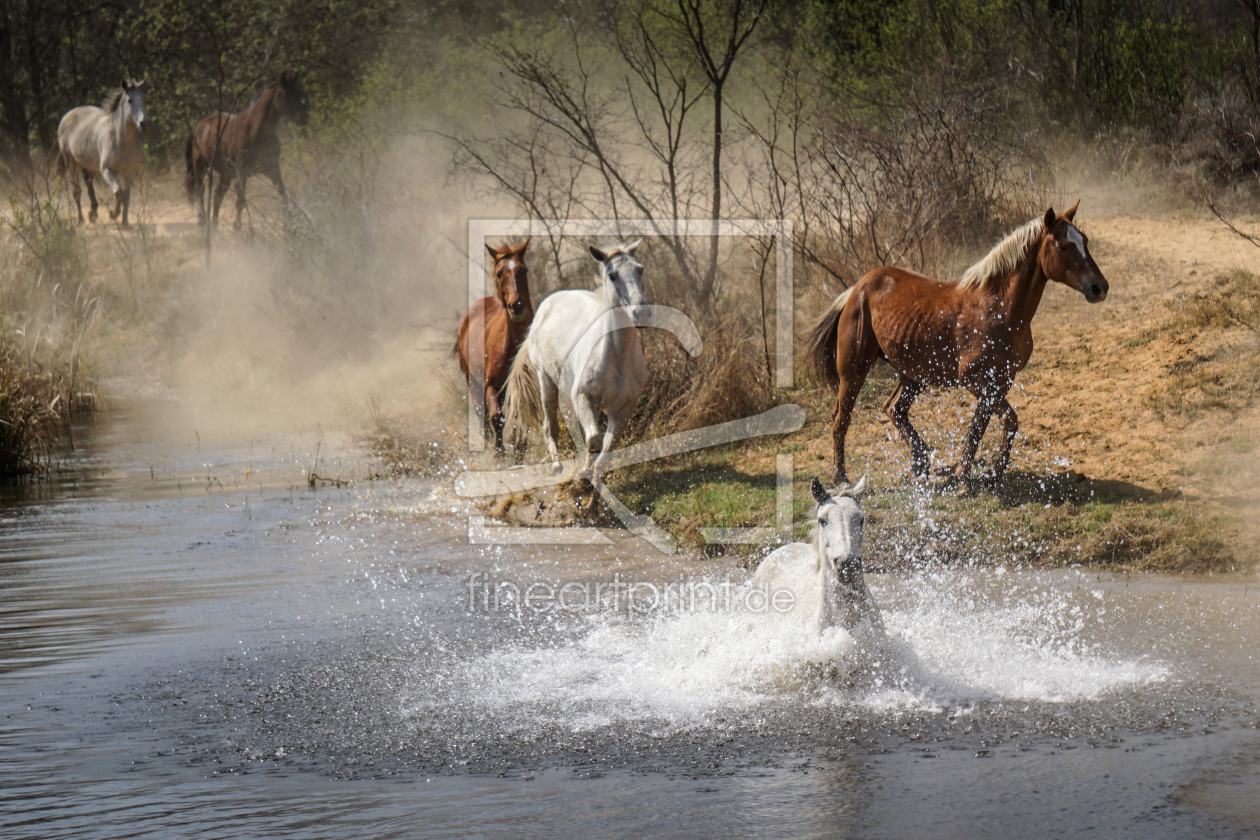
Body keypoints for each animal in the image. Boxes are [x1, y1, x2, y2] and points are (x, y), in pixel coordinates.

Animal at [56, 79, 148, 230]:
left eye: (144, 99)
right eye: (130, 100)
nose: (144, 124)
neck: (121, 140)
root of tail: (67, 115)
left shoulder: (129, 173)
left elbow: (126, 197)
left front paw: (125, 223)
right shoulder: (106, 170)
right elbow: (118, 193)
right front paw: (113, 214)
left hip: (92, 166)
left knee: (88, 183)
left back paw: (92, 213)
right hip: (71, 162)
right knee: (77, 191)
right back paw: (81, 220)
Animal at [183, 71, 308, 230]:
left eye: (299, 91)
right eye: (284, 92)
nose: (304, 117)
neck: (254, 130)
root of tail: (199, 127)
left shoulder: (272, 168)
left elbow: (284, 194)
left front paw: (290, 227)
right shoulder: (241, 171)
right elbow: (241, 200)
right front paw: (237, 227)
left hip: (225, 174)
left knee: (217, 196)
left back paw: (215, 225)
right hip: (200, 166)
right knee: (201, 190)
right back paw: (202, 220)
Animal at [453, 239, 531, 450]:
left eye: (523, 270)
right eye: (499, 273)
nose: (517, 306)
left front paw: (518, 448)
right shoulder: (491, 386)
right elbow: (496, 417)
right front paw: (499, 452)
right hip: (474, 383)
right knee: (483, 416)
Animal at [506, 239, 655, 483]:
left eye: (639, 269)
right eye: (612, 275)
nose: (641, 313)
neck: (617, 357)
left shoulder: (622, 411)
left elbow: (607, 448)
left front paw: (592, 479)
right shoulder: (584, 398)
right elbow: (593, 441)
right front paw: (583, 472)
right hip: (545, 379)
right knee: (550, 426)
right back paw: (556, 466)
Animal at [806, 201, 1113, 496]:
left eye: (1085, 240)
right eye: (1063, 246)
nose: (1099, 287)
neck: (1000, 308)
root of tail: (856, 290)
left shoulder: (1001, 381)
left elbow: (996, 424)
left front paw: (989, 475)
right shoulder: (976, 381)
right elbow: (989, 425)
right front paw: (967, 479)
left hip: (915, 375)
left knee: (894, 409)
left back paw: (921, 464)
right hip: (854, 371)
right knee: (841, 420)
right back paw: (842, 479)